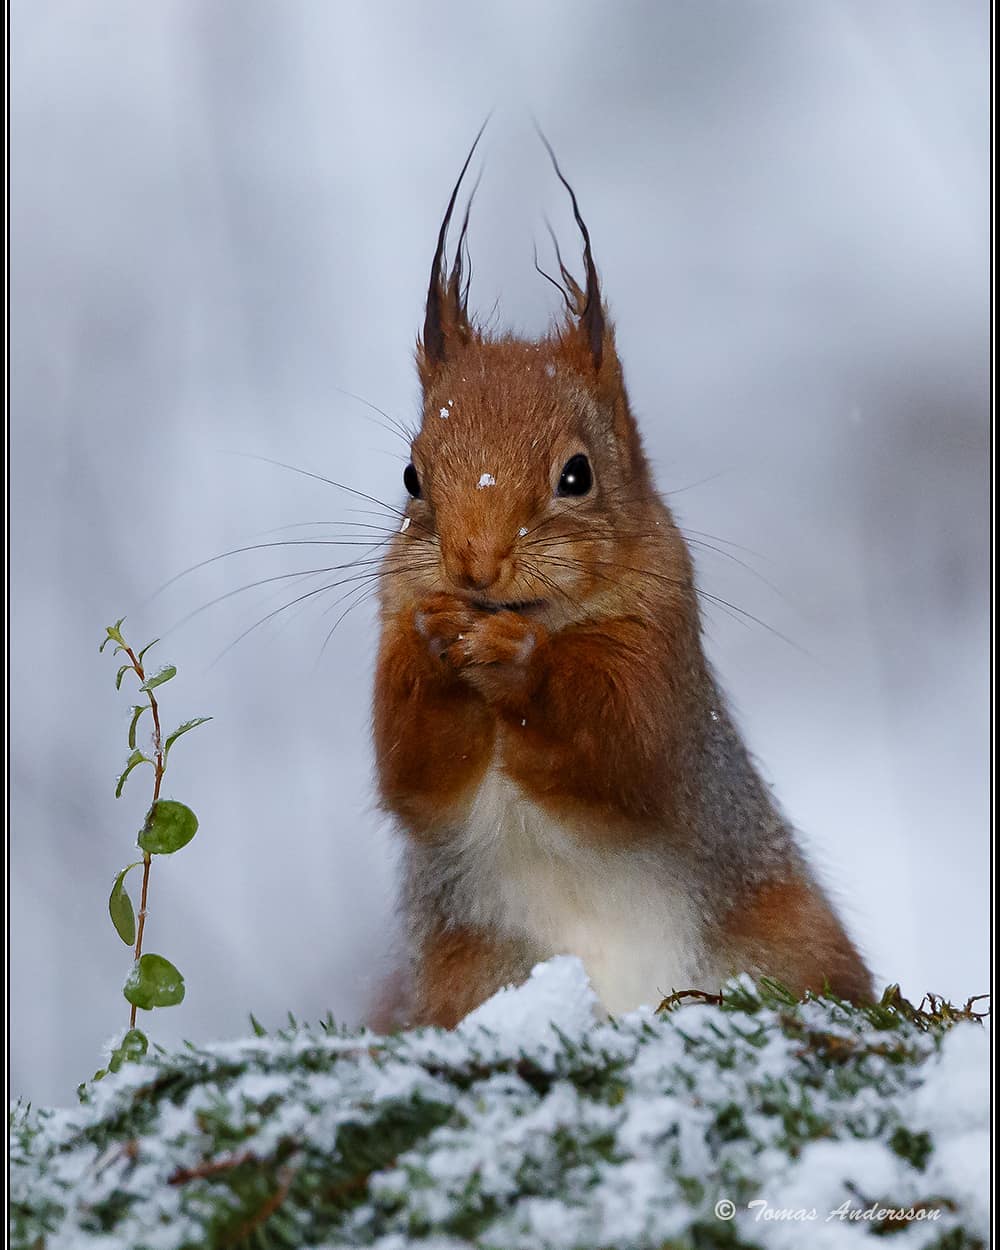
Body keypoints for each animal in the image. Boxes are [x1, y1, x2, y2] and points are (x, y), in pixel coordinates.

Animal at [370, 136, 870, 1030]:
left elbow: (624, 750)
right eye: (410, 477)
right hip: (468, 974)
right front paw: (434, 648)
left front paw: (522, 661)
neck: (540, 614)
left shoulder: (664, 656)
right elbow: (415, 772)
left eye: (578, 475)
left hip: (786, 941)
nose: (474, 565)